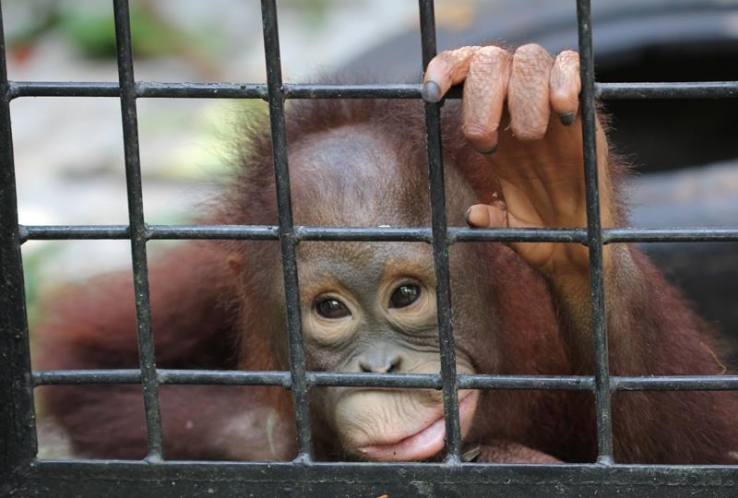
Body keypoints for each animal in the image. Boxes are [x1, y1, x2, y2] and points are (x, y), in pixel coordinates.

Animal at [34, 44, 738, 464]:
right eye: (330, 309)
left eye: (406, 295)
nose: (380, 369)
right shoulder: (209, 271)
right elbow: (91, 370)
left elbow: (700, 452)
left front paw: (557, 186)